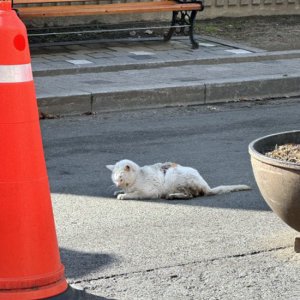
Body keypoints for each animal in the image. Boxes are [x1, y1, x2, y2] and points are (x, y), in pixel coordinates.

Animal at [106, 159, 251, 199]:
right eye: (114, 178)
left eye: (120, 177)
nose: (117, 184)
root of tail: (206, 186)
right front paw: (118, 191)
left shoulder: (150, 192)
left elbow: (135, 194)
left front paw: (123, 195)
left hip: (174, 177)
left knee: (190, 195)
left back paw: (172, 196)